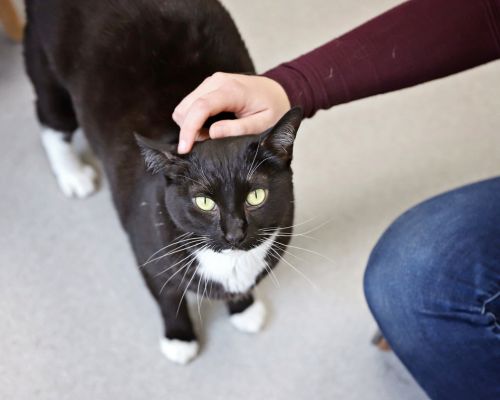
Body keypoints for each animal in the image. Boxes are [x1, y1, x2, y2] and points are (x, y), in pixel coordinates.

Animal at [24, 0, 300, 364]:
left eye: (256, 196)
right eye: (204, 202)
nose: (234, 233)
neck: (227, 261)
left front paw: (244, 309)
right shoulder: (149, 255)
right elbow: (168, 297)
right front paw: (180, 339)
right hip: (47, 68)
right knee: (50, 118)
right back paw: (72, 175)